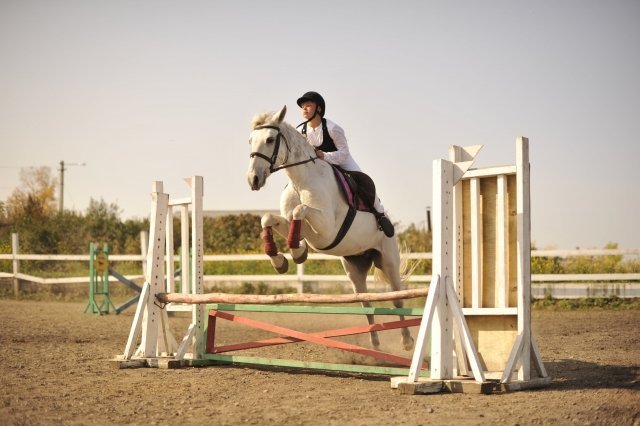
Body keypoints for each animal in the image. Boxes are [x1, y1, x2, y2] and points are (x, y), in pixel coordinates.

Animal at [245, 105, 416, 352]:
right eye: (250, 141)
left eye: (269, 139)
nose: (253, 180)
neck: (301, 180)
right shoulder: (306, 229)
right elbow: (269, 219)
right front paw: (283, 259)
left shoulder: (326, 230)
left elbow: (300, 211)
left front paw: (296, 251)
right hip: (354, 268)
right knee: (365, 302)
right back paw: (374, 344)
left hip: (388, 259)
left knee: (397, 298)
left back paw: (407, 341)